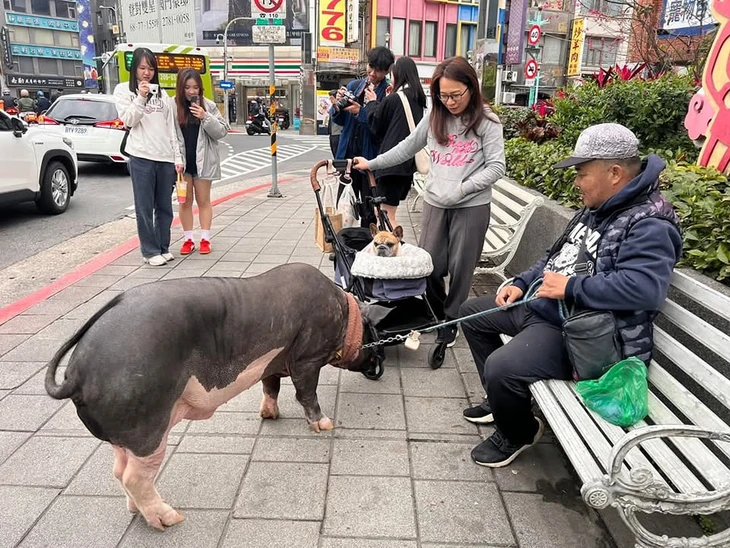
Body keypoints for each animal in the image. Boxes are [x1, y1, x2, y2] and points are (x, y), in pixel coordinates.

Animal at [45, 264, 386, 528]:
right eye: (373, 332)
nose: (378, 362)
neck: (344, 314)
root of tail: (76, 373)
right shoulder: (307, 358)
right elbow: (306, 392)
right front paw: (325, 425)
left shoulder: (273, 363)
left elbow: (270, 387)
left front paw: (269, 415)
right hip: (146, 424)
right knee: (133, 477)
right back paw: (171, 520)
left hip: (123, 433)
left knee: (118, 470)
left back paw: (137, 512)